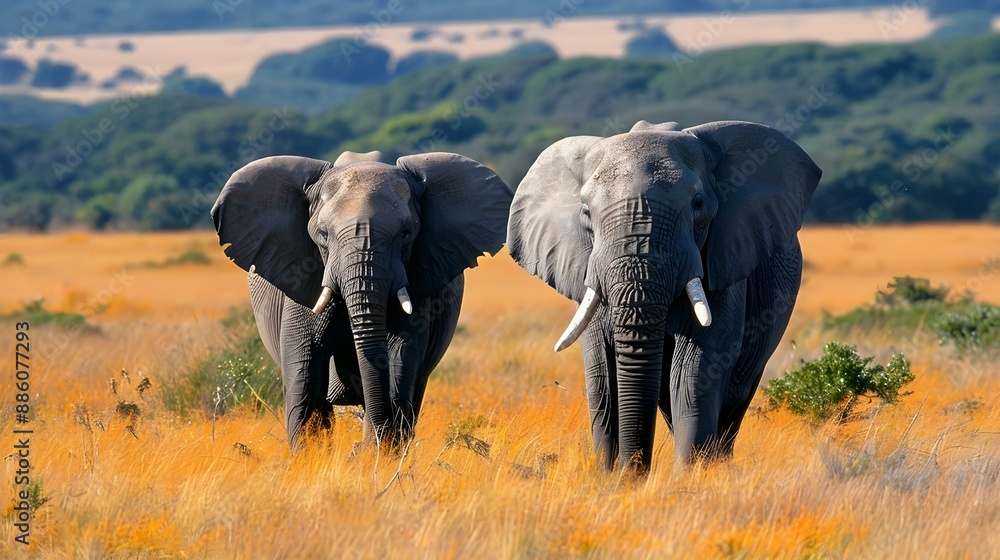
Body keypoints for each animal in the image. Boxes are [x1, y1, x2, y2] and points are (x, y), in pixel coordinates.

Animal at [507, 120, 821, 472]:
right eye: (586, 212)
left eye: (698, 204)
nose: (633, 470)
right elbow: (602, 377)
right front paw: (610, 478)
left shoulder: (723, 261)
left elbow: (693, 371)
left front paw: (688, 476)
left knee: (734, 396)